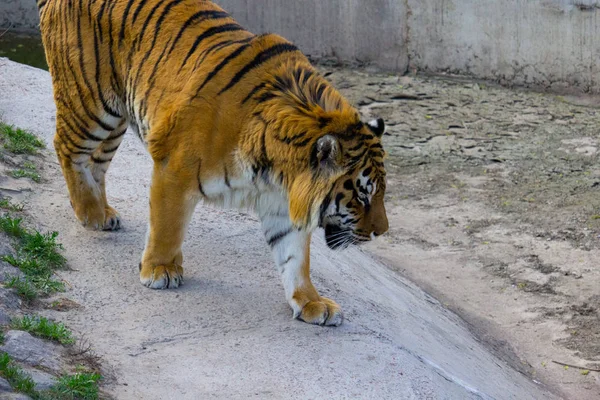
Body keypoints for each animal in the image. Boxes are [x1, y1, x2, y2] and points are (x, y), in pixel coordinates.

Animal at [39, 0, 392, 324]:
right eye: (362, 195)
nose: (382, 232)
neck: (277, 171)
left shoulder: (281, 202)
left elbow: (295, 258)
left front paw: (311, 302)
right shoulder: (174, 167)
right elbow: (167, 225)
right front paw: (160, 270)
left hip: (115, 121)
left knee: (96, 163)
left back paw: (103, 214)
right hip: (91, 105)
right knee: (67, 148)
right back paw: (90, 214)